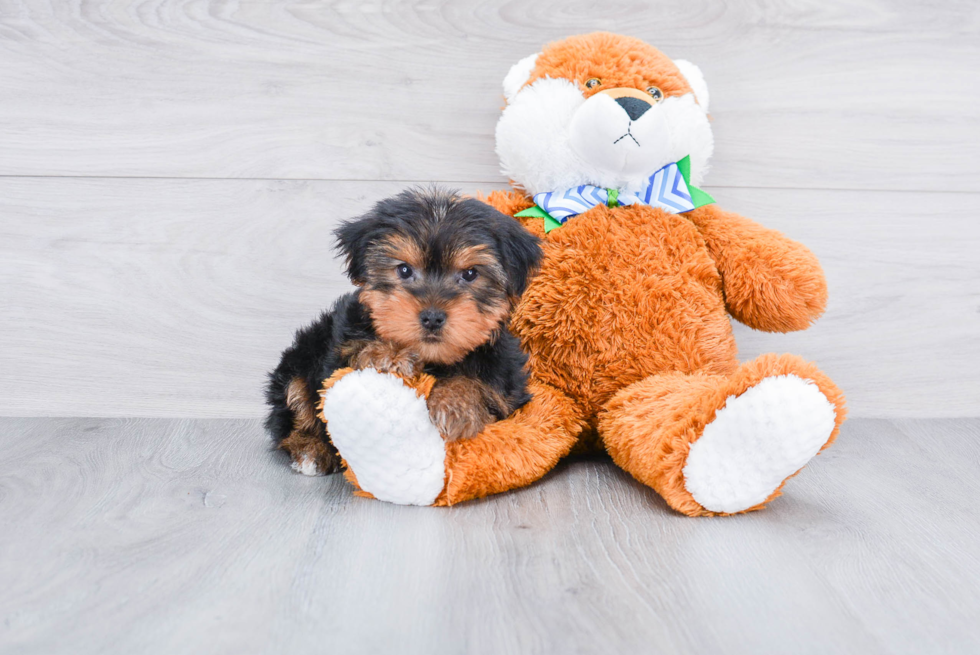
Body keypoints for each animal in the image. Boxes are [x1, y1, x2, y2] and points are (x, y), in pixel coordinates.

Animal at [264, 188, 544, 476]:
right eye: (404, 270)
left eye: (470, 274)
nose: (432, 317)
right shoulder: (338, 352)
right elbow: (352, 356)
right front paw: (388, 353)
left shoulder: (507, 383)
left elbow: (487, 385)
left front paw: (456, 403)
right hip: (302, 354)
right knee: (294, 402)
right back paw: (309, 448)